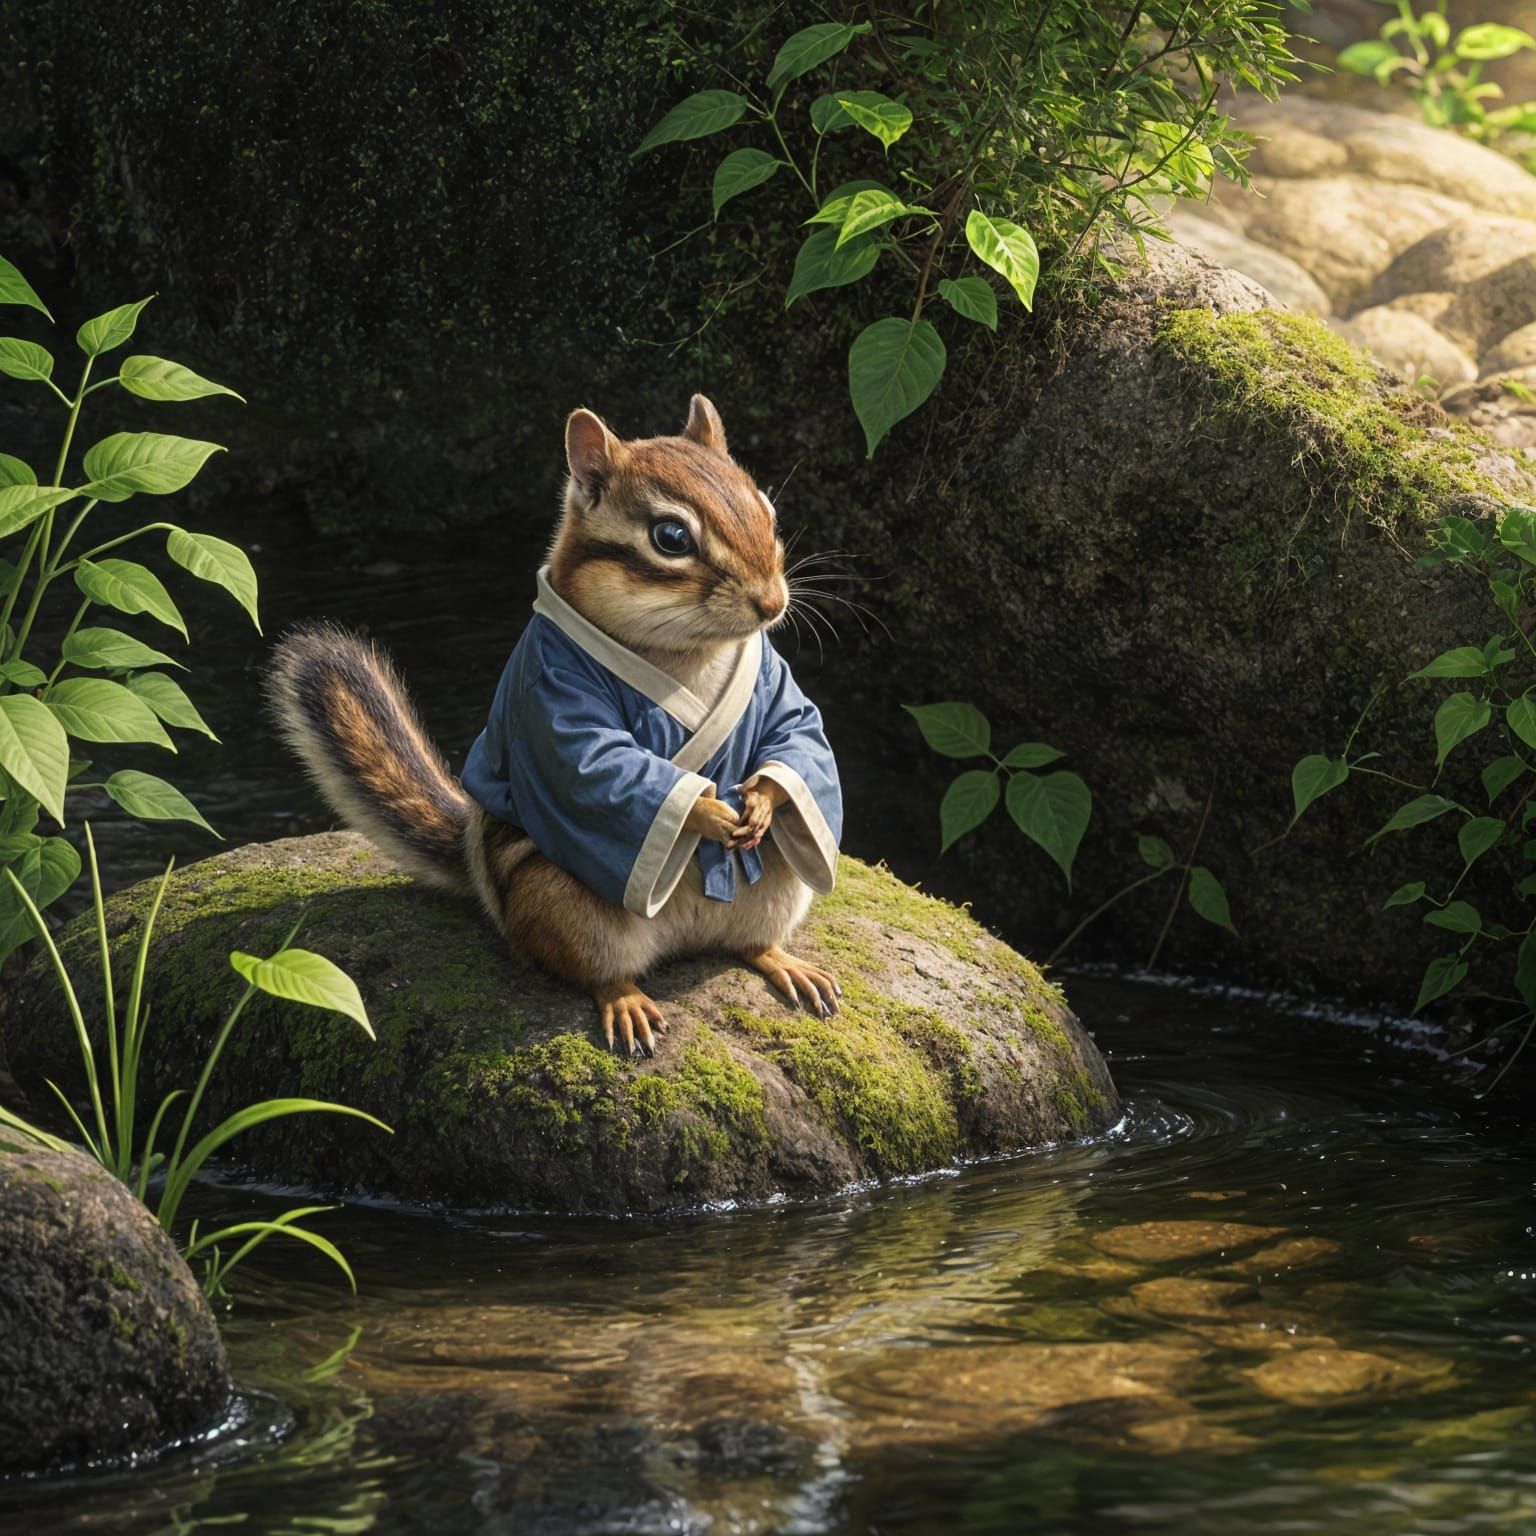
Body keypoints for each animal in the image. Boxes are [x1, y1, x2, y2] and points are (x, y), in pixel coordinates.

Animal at [269, 394, 844, 1057]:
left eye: (766, 509)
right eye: (671, 537)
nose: (772, 604)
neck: (686, 651)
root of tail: (685, 940)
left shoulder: (773, 682)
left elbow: (796, 732)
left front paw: (763, 799)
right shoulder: (558, 692)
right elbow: (595, 762)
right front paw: (705, 811)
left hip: (782, 884)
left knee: (751, 941)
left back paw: (787, 965)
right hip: (566, 903)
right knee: (596, 973)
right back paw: (626, 1002)